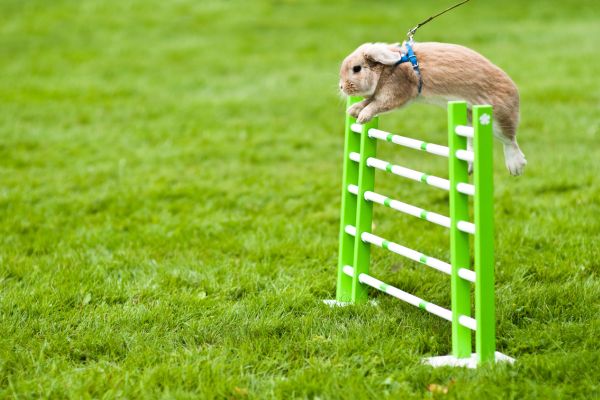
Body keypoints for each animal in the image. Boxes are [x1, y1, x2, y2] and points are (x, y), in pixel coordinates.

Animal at [340, 41, 528, 177]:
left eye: (356, 68)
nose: (342, 87)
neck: (389, 67)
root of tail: (515, 90)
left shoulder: (395, 94)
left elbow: (375, 105)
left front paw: (362, 116)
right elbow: (368, 100)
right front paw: (354, 110)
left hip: (497, 120)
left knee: (510, 141)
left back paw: (516, 167)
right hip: (468, 121)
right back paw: (469, 166)